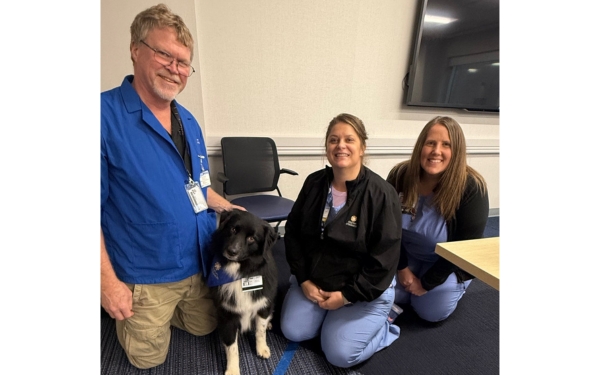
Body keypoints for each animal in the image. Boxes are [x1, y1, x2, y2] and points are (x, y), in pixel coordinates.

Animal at [209, 209, 278, 375]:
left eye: (252, 238)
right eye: (233, 229)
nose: (231, 251)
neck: (241, 272)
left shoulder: (263, 304)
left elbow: (260, 330)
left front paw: (262, 348)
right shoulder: (227, 314)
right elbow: (232, 347)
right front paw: (233, 369)